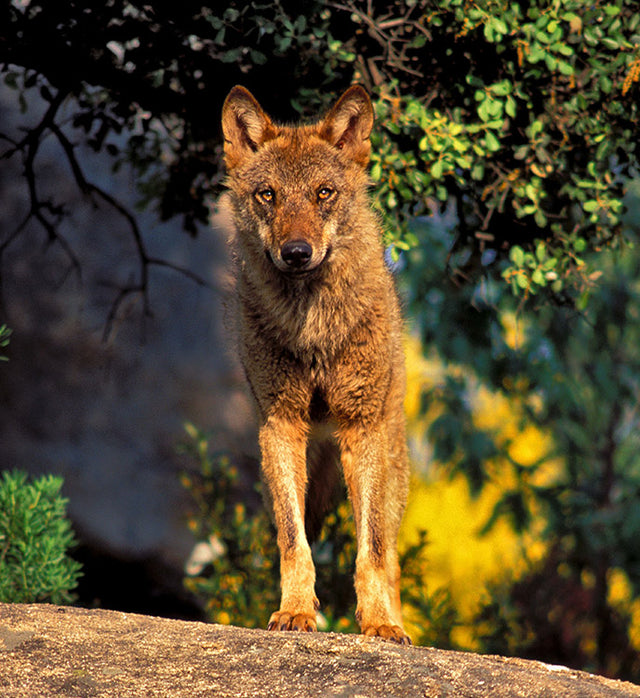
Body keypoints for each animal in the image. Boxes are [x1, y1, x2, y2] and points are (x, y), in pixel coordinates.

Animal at [221, 84, 411, 644]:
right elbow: (293, 540)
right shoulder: (280, 426)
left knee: (391, 554)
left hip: (391, 463)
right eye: (268, 195)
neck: (314, 331)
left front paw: (379, 625)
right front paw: (296, 612)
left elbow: (371, 551)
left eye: (324, 193)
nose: (297, 252)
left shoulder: (362, 429)